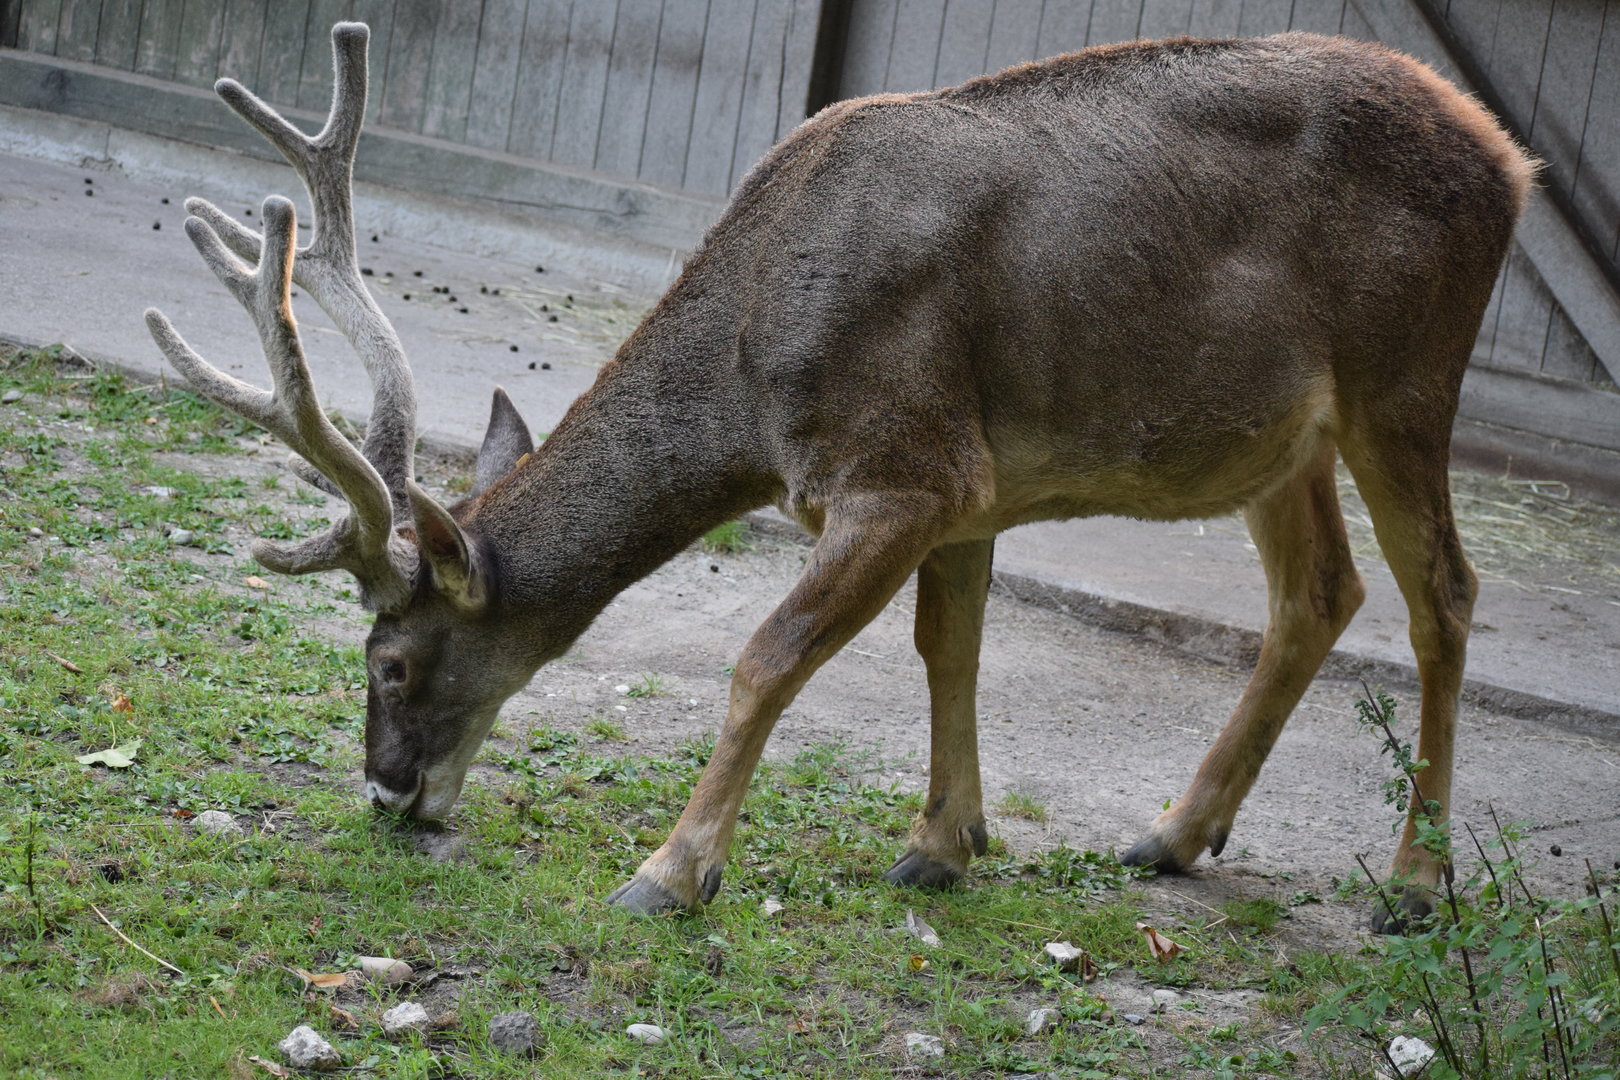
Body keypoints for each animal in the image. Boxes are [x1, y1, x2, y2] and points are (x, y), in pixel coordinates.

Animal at [145, 23, 1532, 932]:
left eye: (388, 657)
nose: (388, 791)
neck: (755, 383)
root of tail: (1510, 160)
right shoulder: (975, 483)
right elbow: (948, 648)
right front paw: (945, 843)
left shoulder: (906, 465)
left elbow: (767, 657)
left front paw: (670, 873)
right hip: (1278, 431)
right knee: (1322, 594)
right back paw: (1175, 835)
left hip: (1405, 374)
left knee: (1446, 596)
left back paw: (1417, 884)